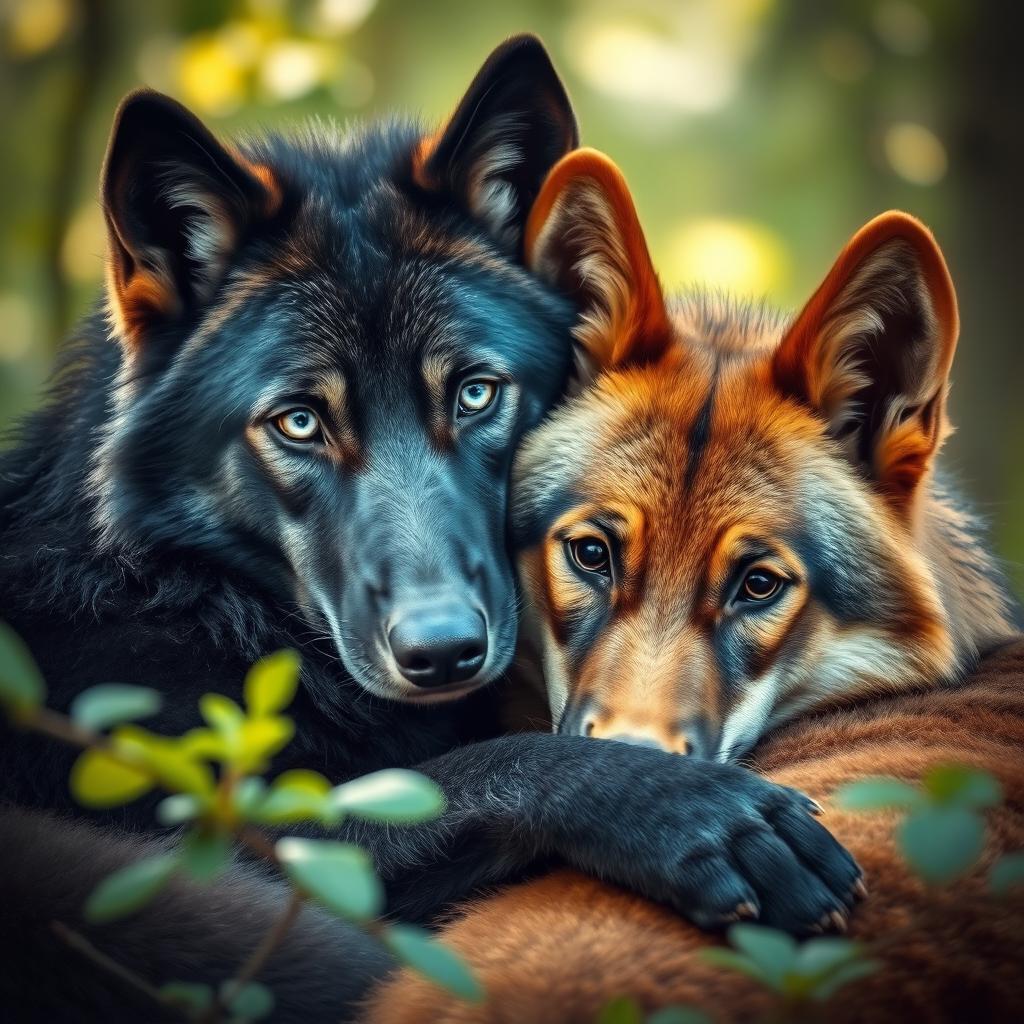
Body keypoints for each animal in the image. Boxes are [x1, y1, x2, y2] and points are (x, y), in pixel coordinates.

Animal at [0, 43, 856, 1023]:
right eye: (299, 422)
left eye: (476, 392)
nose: (443, 652)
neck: (196, 604)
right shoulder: (236, 829)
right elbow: (499, 764)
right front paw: (700, 812)